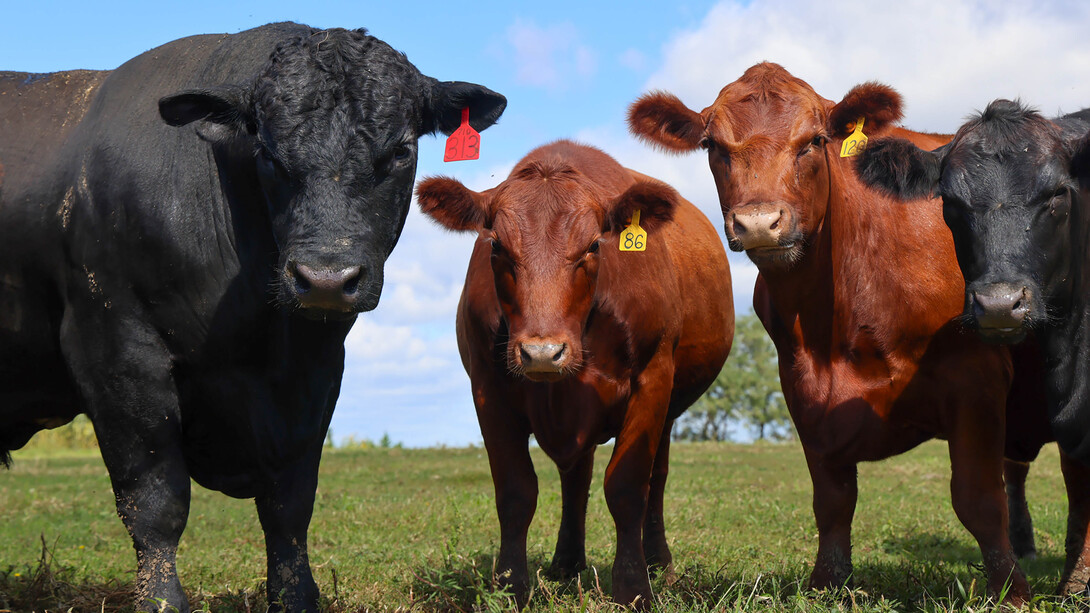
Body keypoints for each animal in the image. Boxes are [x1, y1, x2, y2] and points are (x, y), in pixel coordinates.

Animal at [0, 23, 505, 613]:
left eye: (402, 151)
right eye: (266, 151)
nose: (325, 277)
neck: (258, 341)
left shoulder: (314, 373)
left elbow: (289, 505)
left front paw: (295, 596)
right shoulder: (115, 349)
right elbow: (155, 501)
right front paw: (162, 601)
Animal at [415, 140, 734, 608]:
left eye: (593, 247)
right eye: (497, 248)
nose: (542, 353)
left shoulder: (653, 380)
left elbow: (628, 485)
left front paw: (634, 588)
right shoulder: (488, 389)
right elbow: (516, 490)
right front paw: (511, 586)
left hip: (670, 409)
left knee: (655, 479)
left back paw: (659, 563)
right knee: (576, 477)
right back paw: (566, 563)